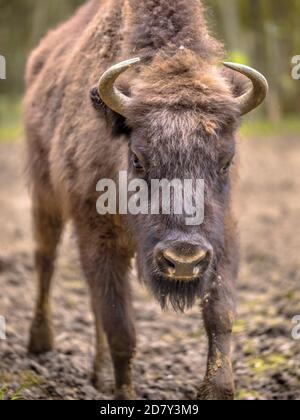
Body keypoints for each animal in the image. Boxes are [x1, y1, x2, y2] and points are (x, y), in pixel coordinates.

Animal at [23, 0, 268, 400]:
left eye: (226, 161)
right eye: (138, 158)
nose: (183, 259)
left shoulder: (222, 234)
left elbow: (221, 314)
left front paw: (218, 389)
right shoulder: (96, 234)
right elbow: (121, 327)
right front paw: (125, 393)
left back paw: (98, 374)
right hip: (46, 198)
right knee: (46, 260)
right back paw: (40, 343)